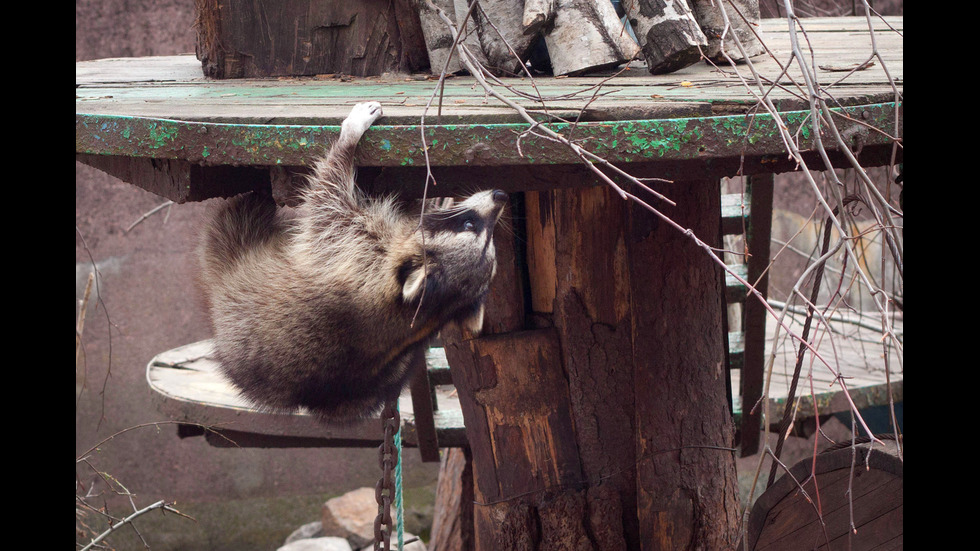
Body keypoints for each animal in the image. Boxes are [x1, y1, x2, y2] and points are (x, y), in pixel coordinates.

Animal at [196, 102, 510, 422]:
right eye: (473, 226)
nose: (501, 194)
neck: (423, 310)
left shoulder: (353, 251)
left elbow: (327, 195)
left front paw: (348, 140)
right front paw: (430, 200)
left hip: (233, 259)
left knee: (235, 219)